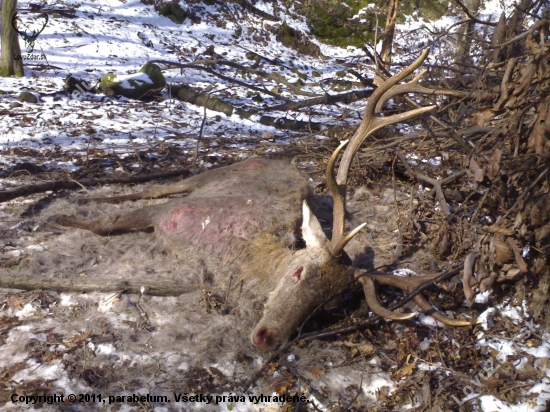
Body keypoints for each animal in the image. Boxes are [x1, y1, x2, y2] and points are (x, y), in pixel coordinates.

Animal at [54, 49, 474, 350]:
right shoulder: (174, 213)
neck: (223, 254)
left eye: (326, 307)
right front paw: (61, 219)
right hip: (205, 178)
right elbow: (105, 225)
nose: (267, 339)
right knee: (155, 187)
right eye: (298, 271)